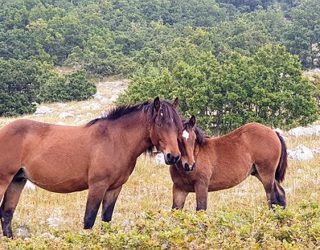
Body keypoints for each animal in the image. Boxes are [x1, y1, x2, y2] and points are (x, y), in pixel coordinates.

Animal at [0, 96, 182, 237]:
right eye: (160, 124)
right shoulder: (97, 186)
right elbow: (89, 219)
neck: (116, 140)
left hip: (17, 181)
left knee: (7, 213)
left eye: (178, 126)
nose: (173, 156)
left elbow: (106, 220)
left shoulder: (114, 188)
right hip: (4, 181)